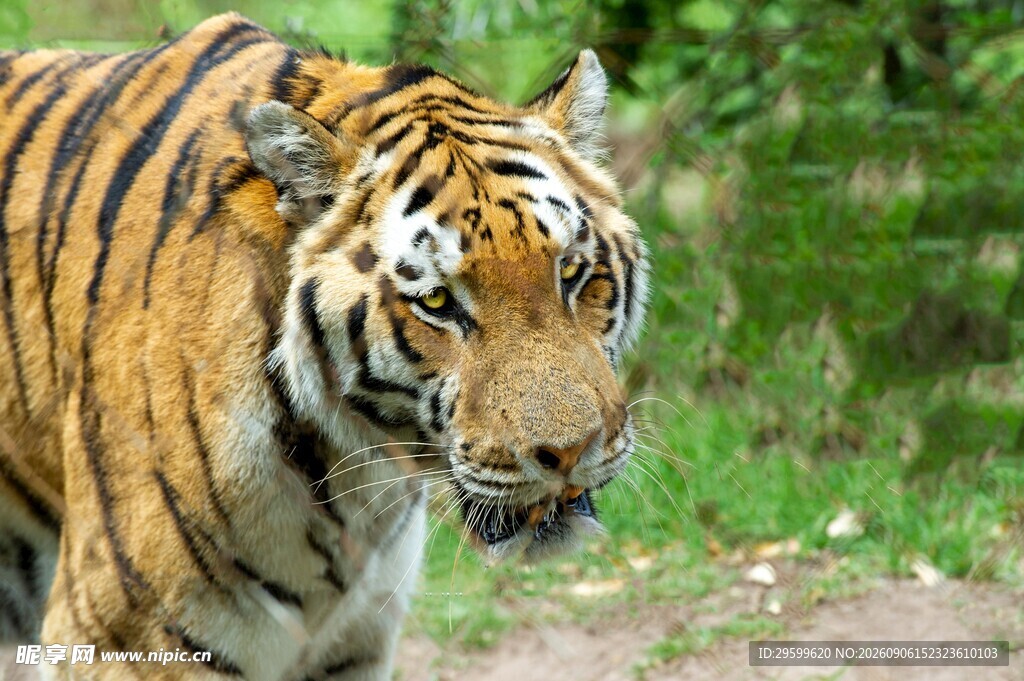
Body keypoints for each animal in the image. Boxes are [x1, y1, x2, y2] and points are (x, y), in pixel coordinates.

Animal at [0, 12, 649, 680]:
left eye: (570, 271)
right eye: (437, 301)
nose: (571, 453)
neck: (357, 480)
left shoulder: (355, 641)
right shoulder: (122, 638)